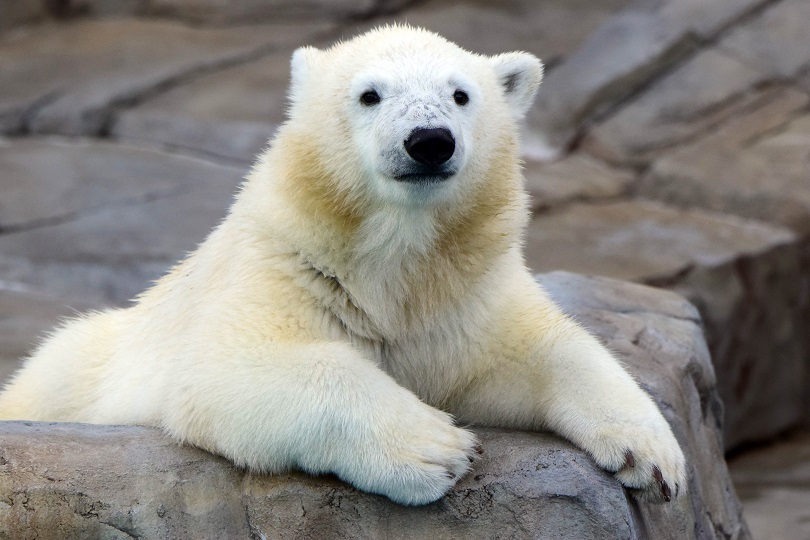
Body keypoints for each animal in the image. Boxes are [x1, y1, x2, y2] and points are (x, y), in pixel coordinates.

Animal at [0, 25, 680, 506]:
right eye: (369, 94)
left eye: (461, 94)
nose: (429, 141)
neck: (398, 261)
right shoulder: (286, 267)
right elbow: (234, 368)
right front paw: (436, 448)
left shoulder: (462, 298)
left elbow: (534, 351)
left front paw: (653, 454)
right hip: (71, 370)